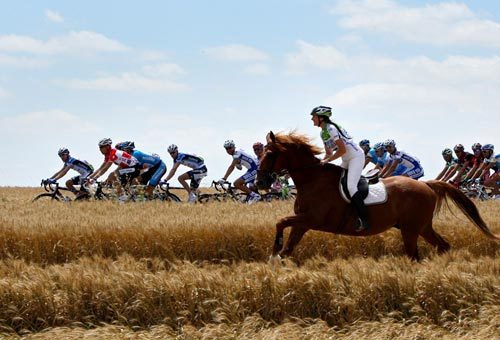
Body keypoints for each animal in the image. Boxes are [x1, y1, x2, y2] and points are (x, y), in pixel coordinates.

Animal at [256, 131, 498, 260]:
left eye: (270, 153)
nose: (259, 183)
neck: (312, 180)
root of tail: (426, 185)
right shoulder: (303, 223)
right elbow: (288, 245)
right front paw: (278, 258)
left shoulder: (313, 219)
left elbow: (281, 221)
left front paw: (274, 250)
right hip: (421, 227)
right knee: (442, 245)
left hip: (411, 229)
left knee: (415, 255)